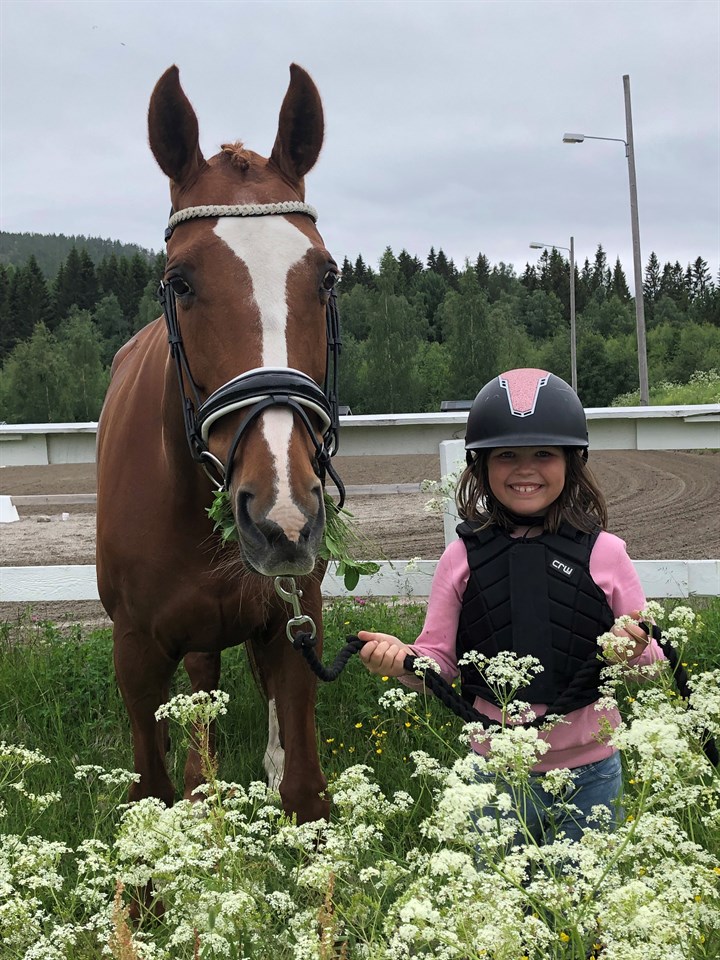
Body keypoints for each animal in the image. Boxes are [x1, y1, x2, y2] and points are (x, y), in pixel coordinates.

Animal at [96, 64, 343, 824]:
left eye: (327, 276)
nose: (283, 517)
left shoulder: (293, 628)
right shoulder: (136, 654)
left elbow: (302, 790)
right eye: (180, 282)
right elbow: (152, 789)